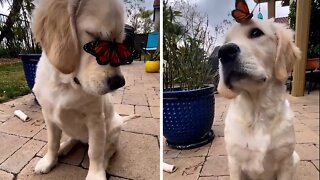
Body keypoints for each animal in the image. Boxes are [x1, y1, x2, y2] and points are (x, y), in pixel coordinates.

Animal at [30, 0, 136, 179]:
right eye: (94, 37)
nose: (119, 83)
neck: (65, 85)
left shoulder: (96, 120)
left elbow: (95, 151)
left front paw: (95, 174)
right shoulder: (48, 115)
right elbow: (52, 142)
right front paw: (49, 160)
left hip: (114, 127)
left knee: (109, 148)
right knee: (75, 139)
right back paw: (64, 147)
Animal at [216, 18, 302, 180]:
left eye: (256, 33)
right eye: (226, 42)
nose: (224, 52)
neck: (257, 112)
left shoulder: (285, 162)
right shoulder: (234, 163)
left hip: (295, 158)